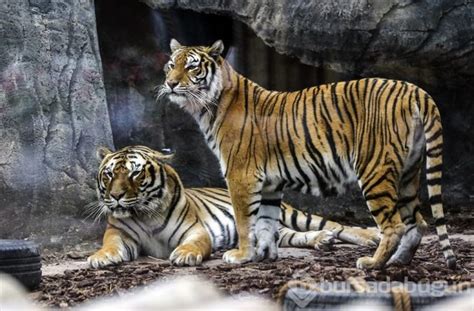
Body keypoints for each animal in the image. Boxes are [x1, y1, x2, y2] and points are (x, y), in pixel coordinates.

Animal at [87, 146, 380, 268]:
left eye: (135, 174)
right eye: (109, 174)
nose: (116, 196)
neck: (145, 213)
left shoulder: (195, 231)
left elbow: (193, 245)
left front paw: (184, 255)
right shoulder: (118, 233)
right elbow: (110, 245)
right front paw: (100, 258)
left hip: (293, 213)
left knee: (335, 225)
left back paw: (370, 237)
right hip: (275, 229)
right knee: (292, 236)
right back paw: (322, 241)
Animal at [157, 37, 458, 270]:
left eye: (192, 66)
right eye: (171, 65)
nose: (170, 83)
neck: (209, 106)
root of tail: (413, 89)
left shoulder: (240, 174)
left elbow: (245, 221)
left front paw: (241, 255)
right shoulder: (269, 183)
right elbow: (265, 222)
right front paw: (263, 256)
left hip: (375, 170)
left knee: (395, 225)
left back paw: (373, 263)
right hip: (408, 172)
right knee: (417, 222)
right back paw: (399, 261)